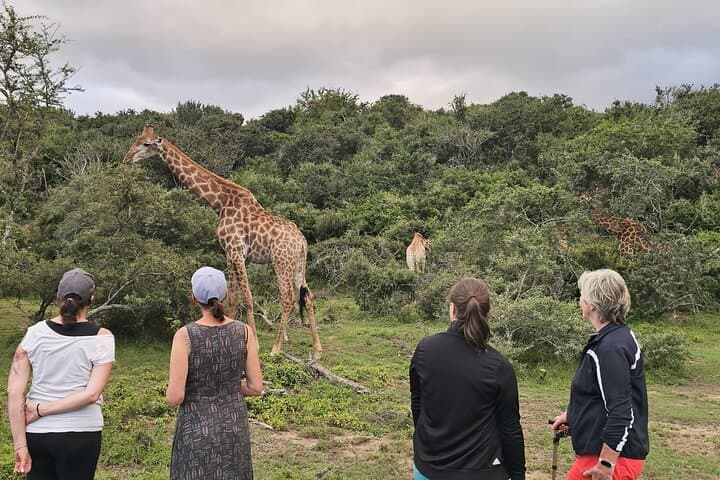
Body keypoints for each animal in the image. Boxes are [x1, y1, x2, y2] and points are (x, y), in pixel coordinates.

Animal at [123, 125, 322, 358]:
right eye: (136, 139)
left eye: (146, 144)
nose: (126, 158)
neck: (220, 203)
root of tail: (302, 241)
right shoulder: (229, 253)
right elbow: (233, 297)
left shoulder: (236, 251)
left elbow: (247, 297)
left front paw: (255, 343)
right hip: (299, 263)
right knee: (307, 296)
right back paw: (317, 349)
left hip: (281, 261)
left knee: (288, 297)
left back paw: (276, 348)